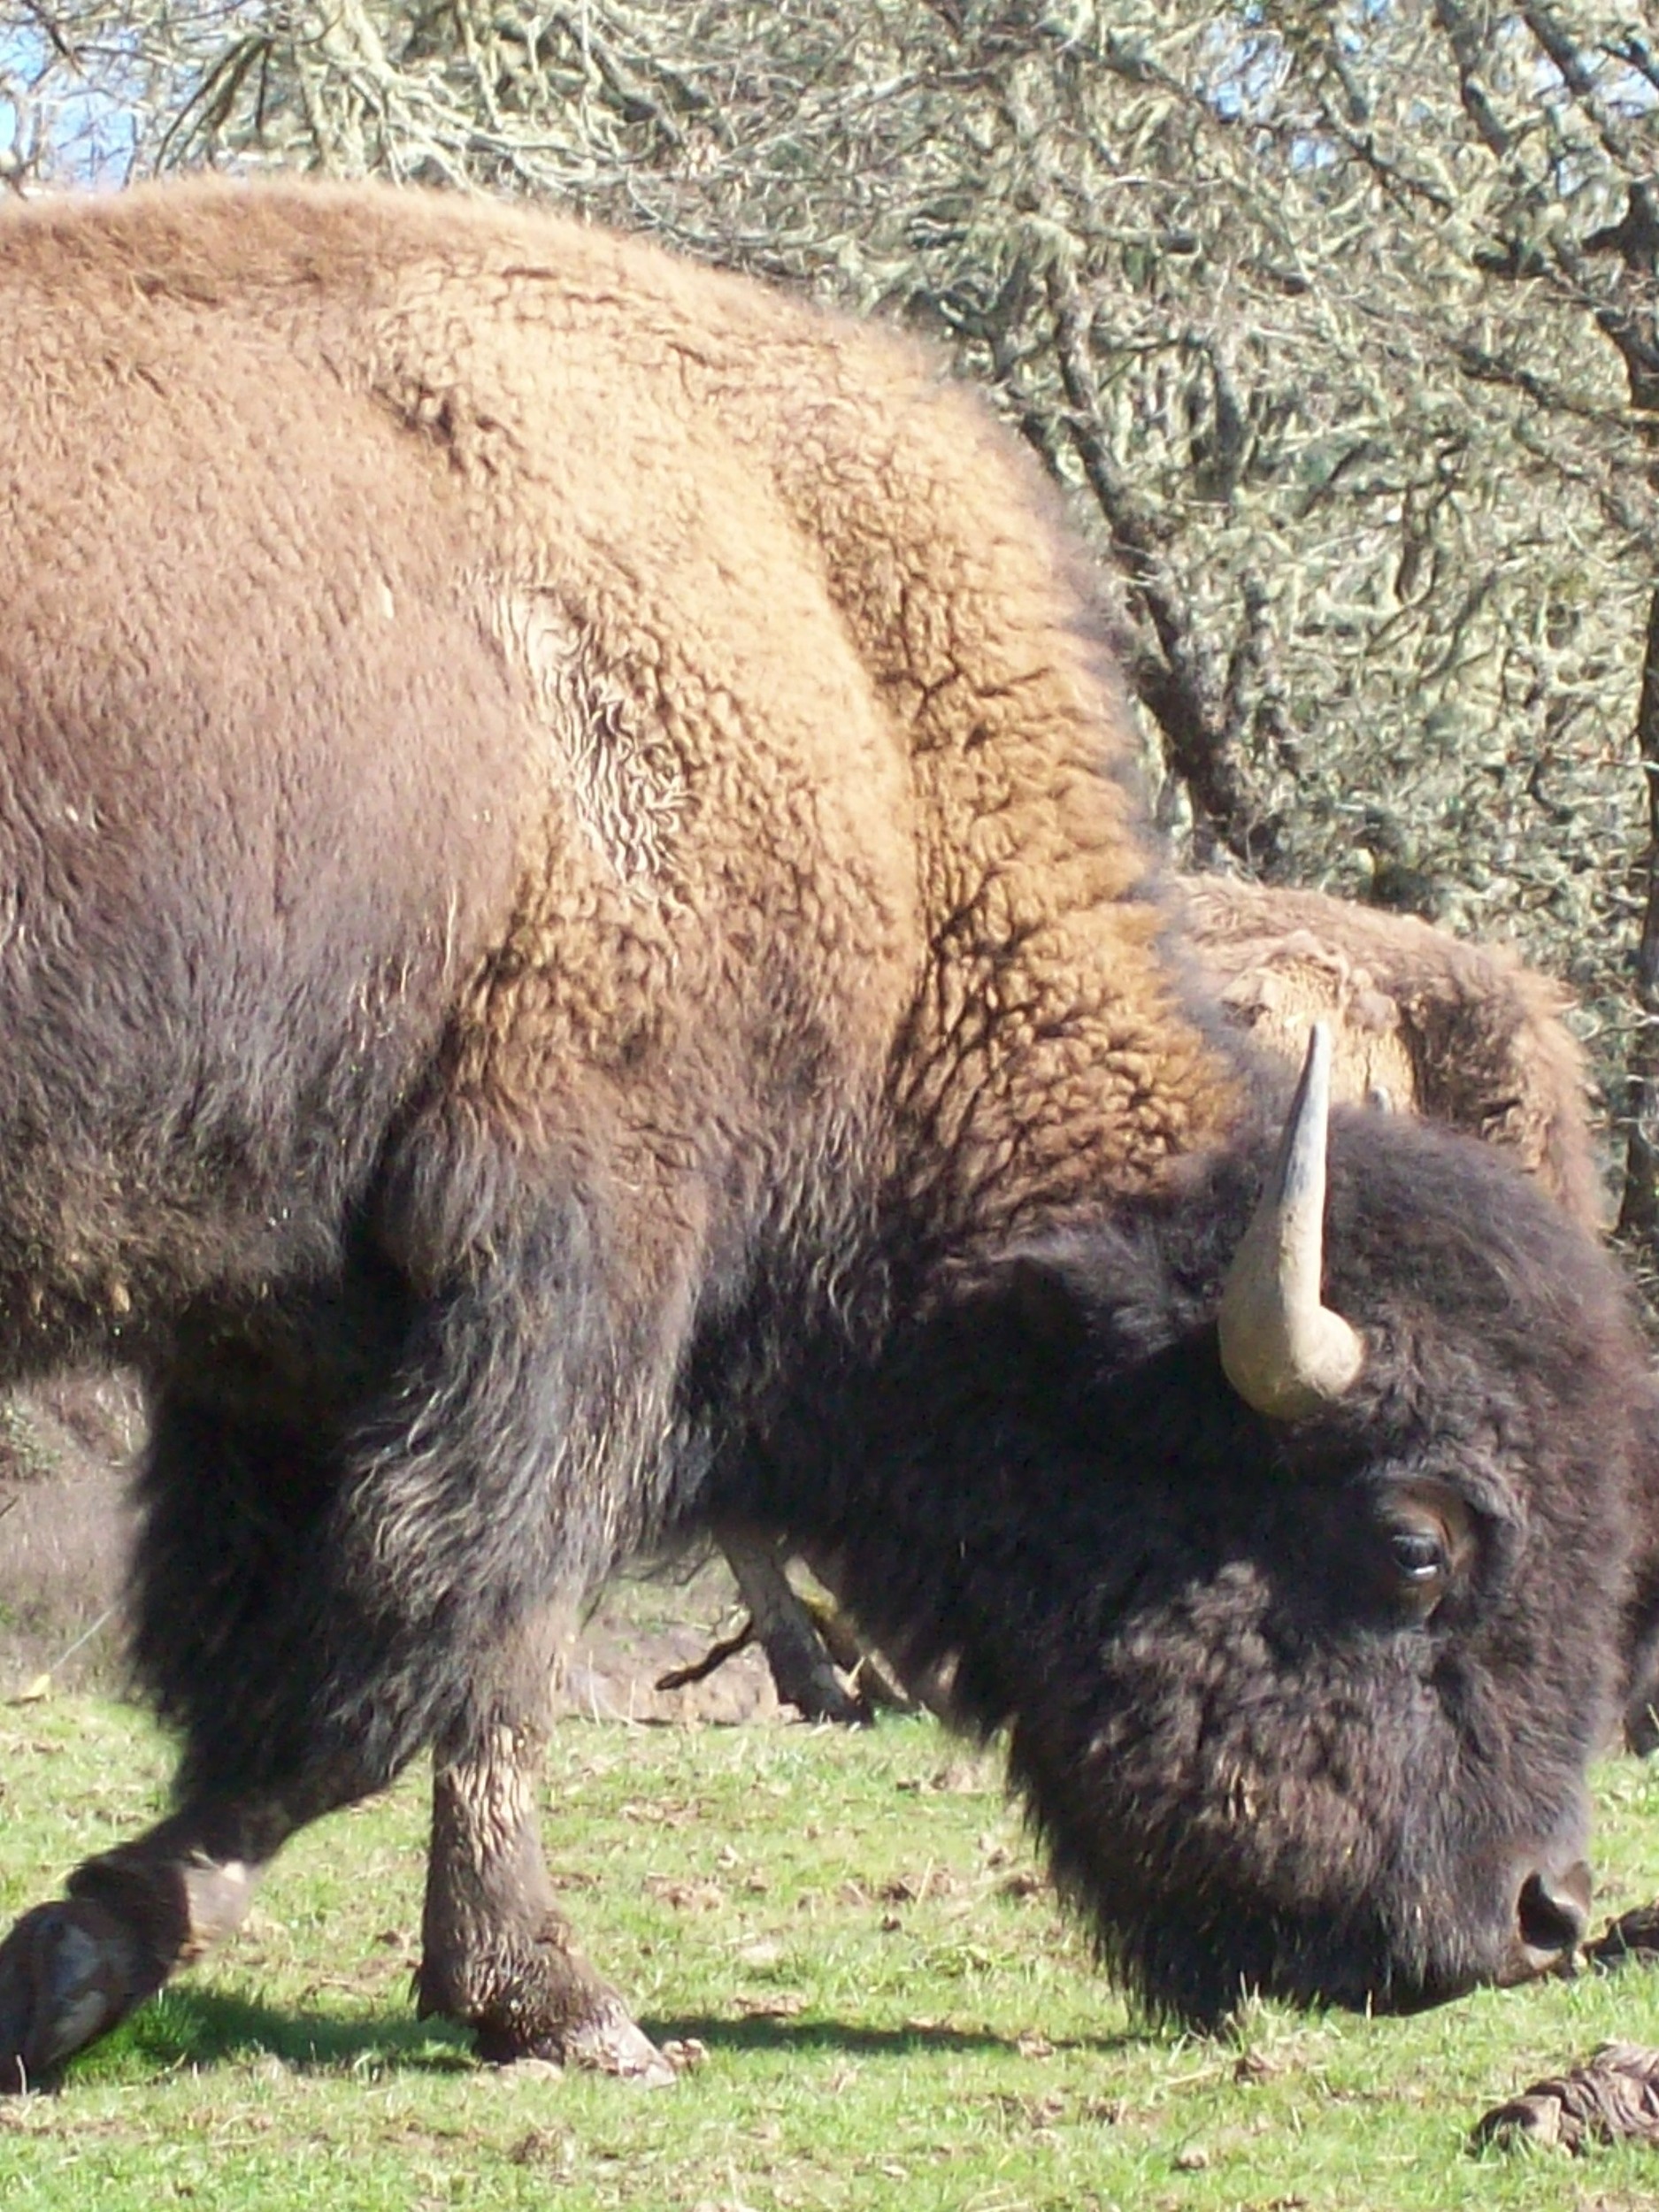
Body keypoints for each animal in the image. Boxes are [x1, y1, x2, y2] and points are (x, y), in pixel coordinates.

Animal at [0, 178, 1654, 2088]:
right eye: (1411, 1546)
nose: (1534, 1913)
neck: (846, 722)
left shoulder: (300, 1345)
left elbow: (329, 1657)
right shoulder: (571, 1280)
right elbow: (430, 1646)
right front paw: (526, 2000)